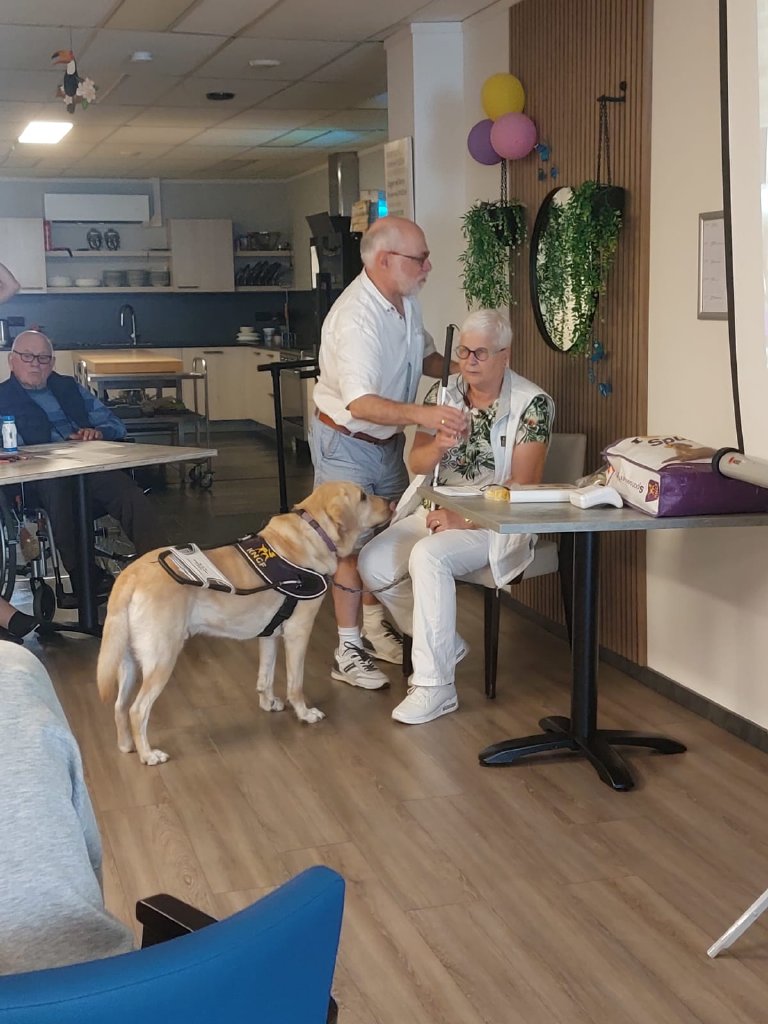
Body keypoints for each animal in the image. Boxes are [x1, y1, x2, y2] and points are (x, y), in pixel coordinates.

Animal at [97, 482, 391, 765]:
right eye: (363, 496)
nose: (390, 501)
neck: (314, 531)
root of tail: (130, 575)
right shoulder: (298, 631)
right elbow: (295, 683)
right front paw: (304, 713)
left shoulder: (269, 634)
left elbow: (266, 675)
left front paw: (268, 702)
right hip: (162, 657)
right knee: (137, 710)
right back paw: (148, 755)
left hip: (128, 661)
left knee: (119, 707)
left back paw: (127, 746)